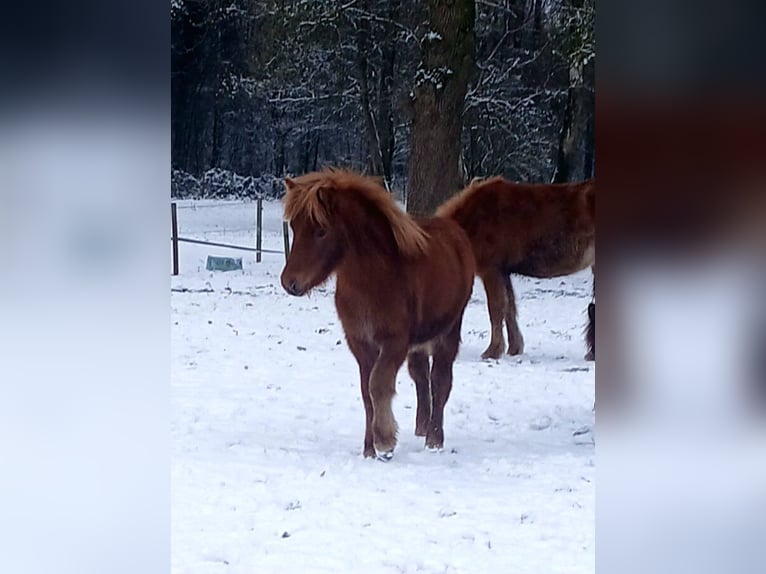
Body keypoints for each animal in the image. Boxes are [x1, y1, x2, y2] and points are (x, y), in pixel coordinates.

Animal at [280, 169, 476, 460]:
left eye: (321, 231)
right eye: (293, 227)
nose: (289, 283)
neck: (372, 279)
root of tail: (455, 230)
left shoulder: (394, 342)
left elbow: (378, 384)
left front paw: (385, 441)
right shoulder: (360, 343)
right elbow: (367, 393)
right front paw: (369, 448)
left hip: (448, 331)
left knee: (440, 380)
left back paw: (434, 439)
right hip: (419, 344)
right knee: (421, 376)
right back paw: (421, 427)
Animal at [436, 176, 595, 360]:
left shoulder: (491, 271)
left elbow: (496, 309)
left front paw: (492, 351)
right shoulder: (504, 272)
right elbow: (509, 308)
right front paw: (514, 348)